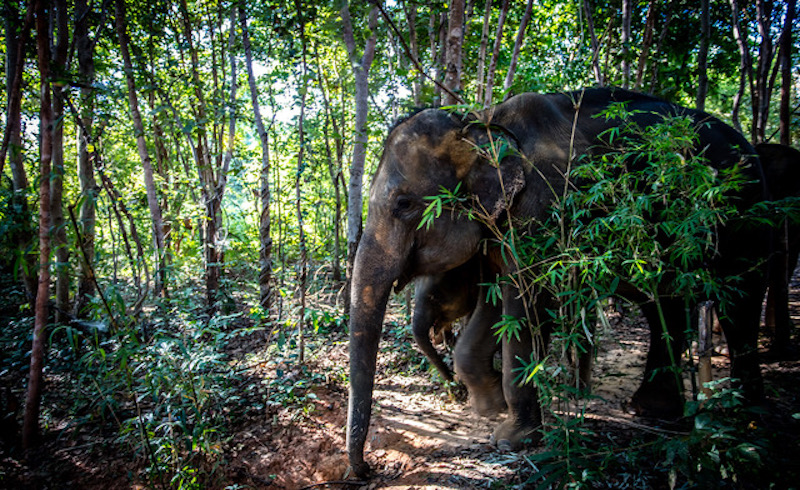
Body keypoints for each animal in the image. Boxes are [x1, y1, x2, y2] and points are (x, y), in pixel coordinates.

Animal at [346, 87, 768, 477]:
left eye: (403, 204)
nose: (364, 471)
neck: (484, 121)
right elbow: (496, 308)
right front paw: (489, 408)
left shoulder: (543, 208)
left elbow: (525, 305)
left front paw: (510, 439)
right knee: (664, 306)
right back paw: (651, 411)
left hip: (742, 215)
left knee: (739, 303)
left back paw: (745, 421)